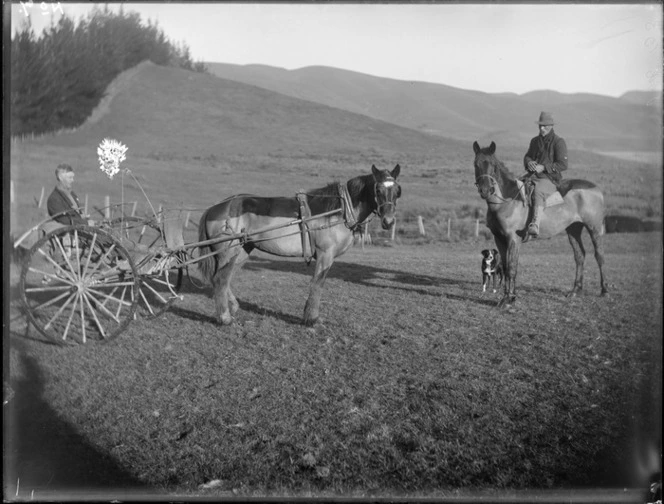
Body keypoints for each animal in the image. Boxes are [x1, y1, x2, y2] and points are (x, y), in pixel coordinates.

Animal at [197, 163, 402, 324]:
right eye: (378, 190)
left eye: (397, 191)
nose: (389, 221)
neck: (339, 210)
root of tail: (215, 208)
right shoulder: (325, 254)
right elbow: (318, 283)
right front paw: (311, 318)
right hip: (229, 251)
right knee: (220, 279)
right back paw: (224, 318)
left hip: (242, 251)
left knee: (223, 280)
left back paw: (232, 307)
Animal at [472, 141, 608, 308]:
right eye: (476, 164)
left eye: (493, 165)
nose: (485, 190)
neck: (506, 201)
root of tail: (596, 189)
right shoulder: (499, 239)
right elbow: (505, 267)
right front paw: (508, 297)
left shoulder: (513, 240)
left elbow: (512, 268)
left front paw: (509, 299)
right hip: (573, 229)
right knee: (579, 255)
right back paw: (575, 290)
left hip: (594, 228)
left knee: (599, 255)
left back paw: (604, 290)